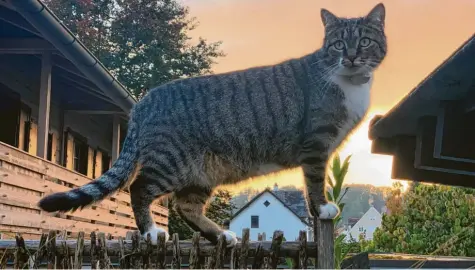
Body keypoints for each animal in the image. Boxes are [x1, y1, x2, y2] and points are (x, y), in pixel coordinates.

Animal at [37, 3, 386, 247]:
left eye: (364, 41)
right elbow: (314, 181)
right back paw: (151, 232)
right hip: (171, 161)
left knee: (185, 206)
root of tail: (144, 102)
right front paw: (323, 208)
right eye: (339, 44)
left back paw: (220, 236)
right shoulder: (316, 144)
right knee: (140, 188)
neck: (348, 81)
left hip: (203, 170)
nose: (351, 56)